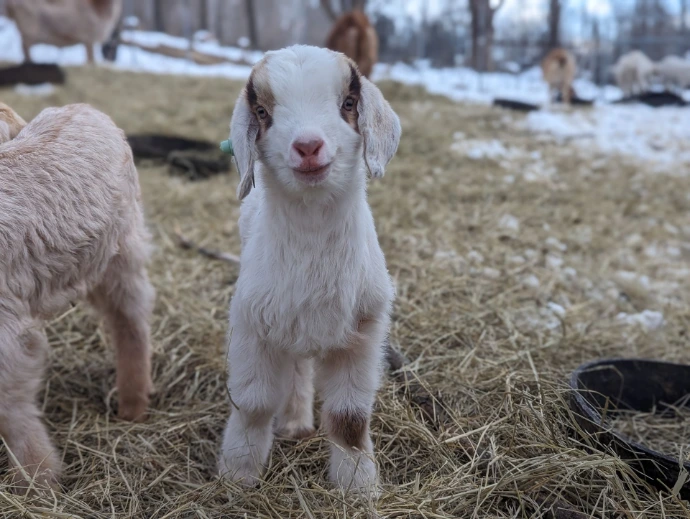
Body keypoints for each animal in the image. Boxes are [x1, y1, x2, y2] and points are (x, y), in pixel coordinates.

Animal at [0, 103, 154, 492]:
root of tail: (85, 108)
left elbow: (9, 408)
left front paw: (37, 481)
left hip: (121, 251)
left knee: (132, 319)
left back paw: (133, 405)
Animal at [217, 45, 401, 496]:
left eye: (348, 103)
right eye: (262, 111)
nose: (308, 146)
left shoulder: (364, 332)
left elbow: (350, 417)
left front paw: (359, 487)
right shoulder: (252, 325)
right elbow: (253, 404)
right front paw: (238, 475)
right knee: (297, 368)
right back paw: (294, 421)